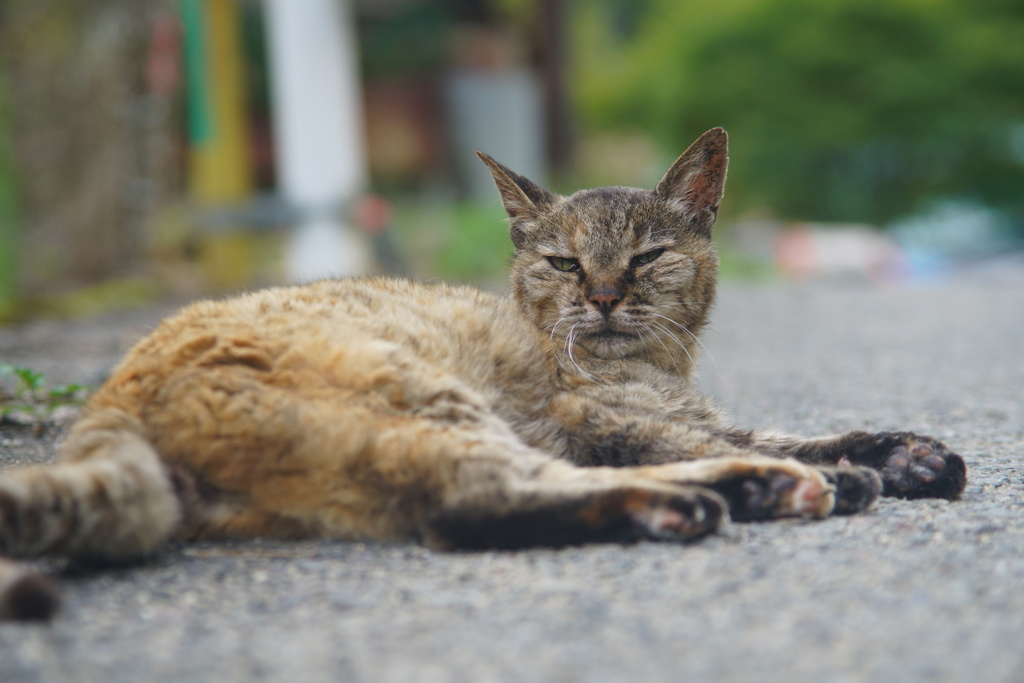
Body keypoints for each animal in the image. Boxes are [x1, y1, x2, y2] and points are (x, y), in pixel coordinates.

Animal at [0, 126, 962, 618]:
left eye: (646, 258)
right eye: (565, 264)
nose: (604, 297)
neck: (652, 363)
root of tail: (114, 393)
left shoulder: (686, 412)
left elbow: (801, 425)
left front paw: (907, 452)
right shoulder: (606, 419)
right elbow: (748, 435)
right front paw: (857, 463)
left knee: (469, 506)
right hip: (430, 395)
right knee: (477, 501)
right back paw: (748, 490)